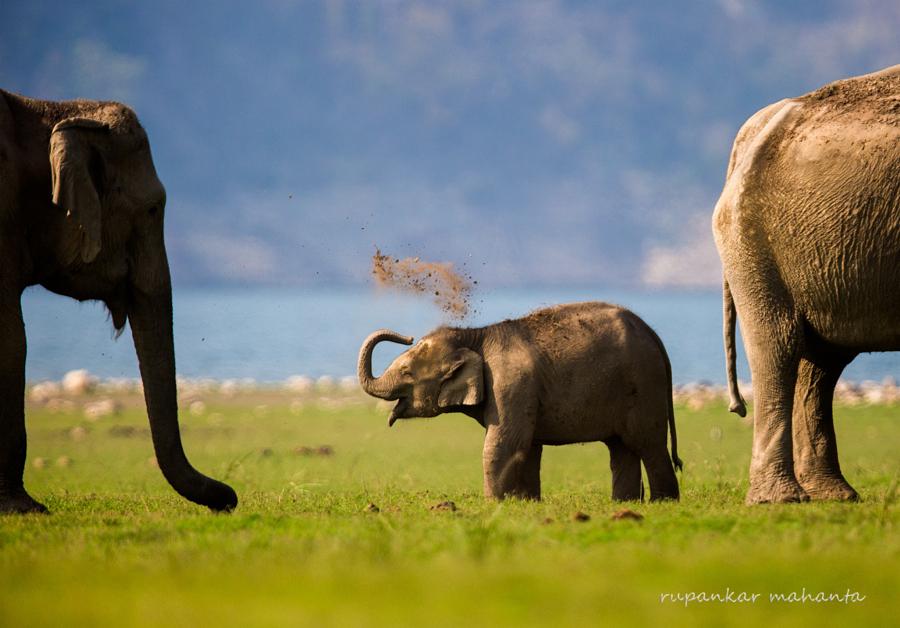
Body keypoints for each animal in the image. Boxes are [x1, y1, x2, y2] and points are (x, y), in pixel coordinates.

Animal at [358, 302, 684, 502]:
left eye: (406, 371)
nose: (408, 336)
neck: (476, 335)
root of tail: (653, 335)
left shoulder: (511, 384)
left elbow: (504, 443)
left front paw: (494, 504)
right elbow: (527, 446)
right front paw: (526, 503)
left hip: (644, 387)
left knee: (648, 445)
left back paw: (662, 503)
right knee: (621, 449)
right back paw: (624, 503)